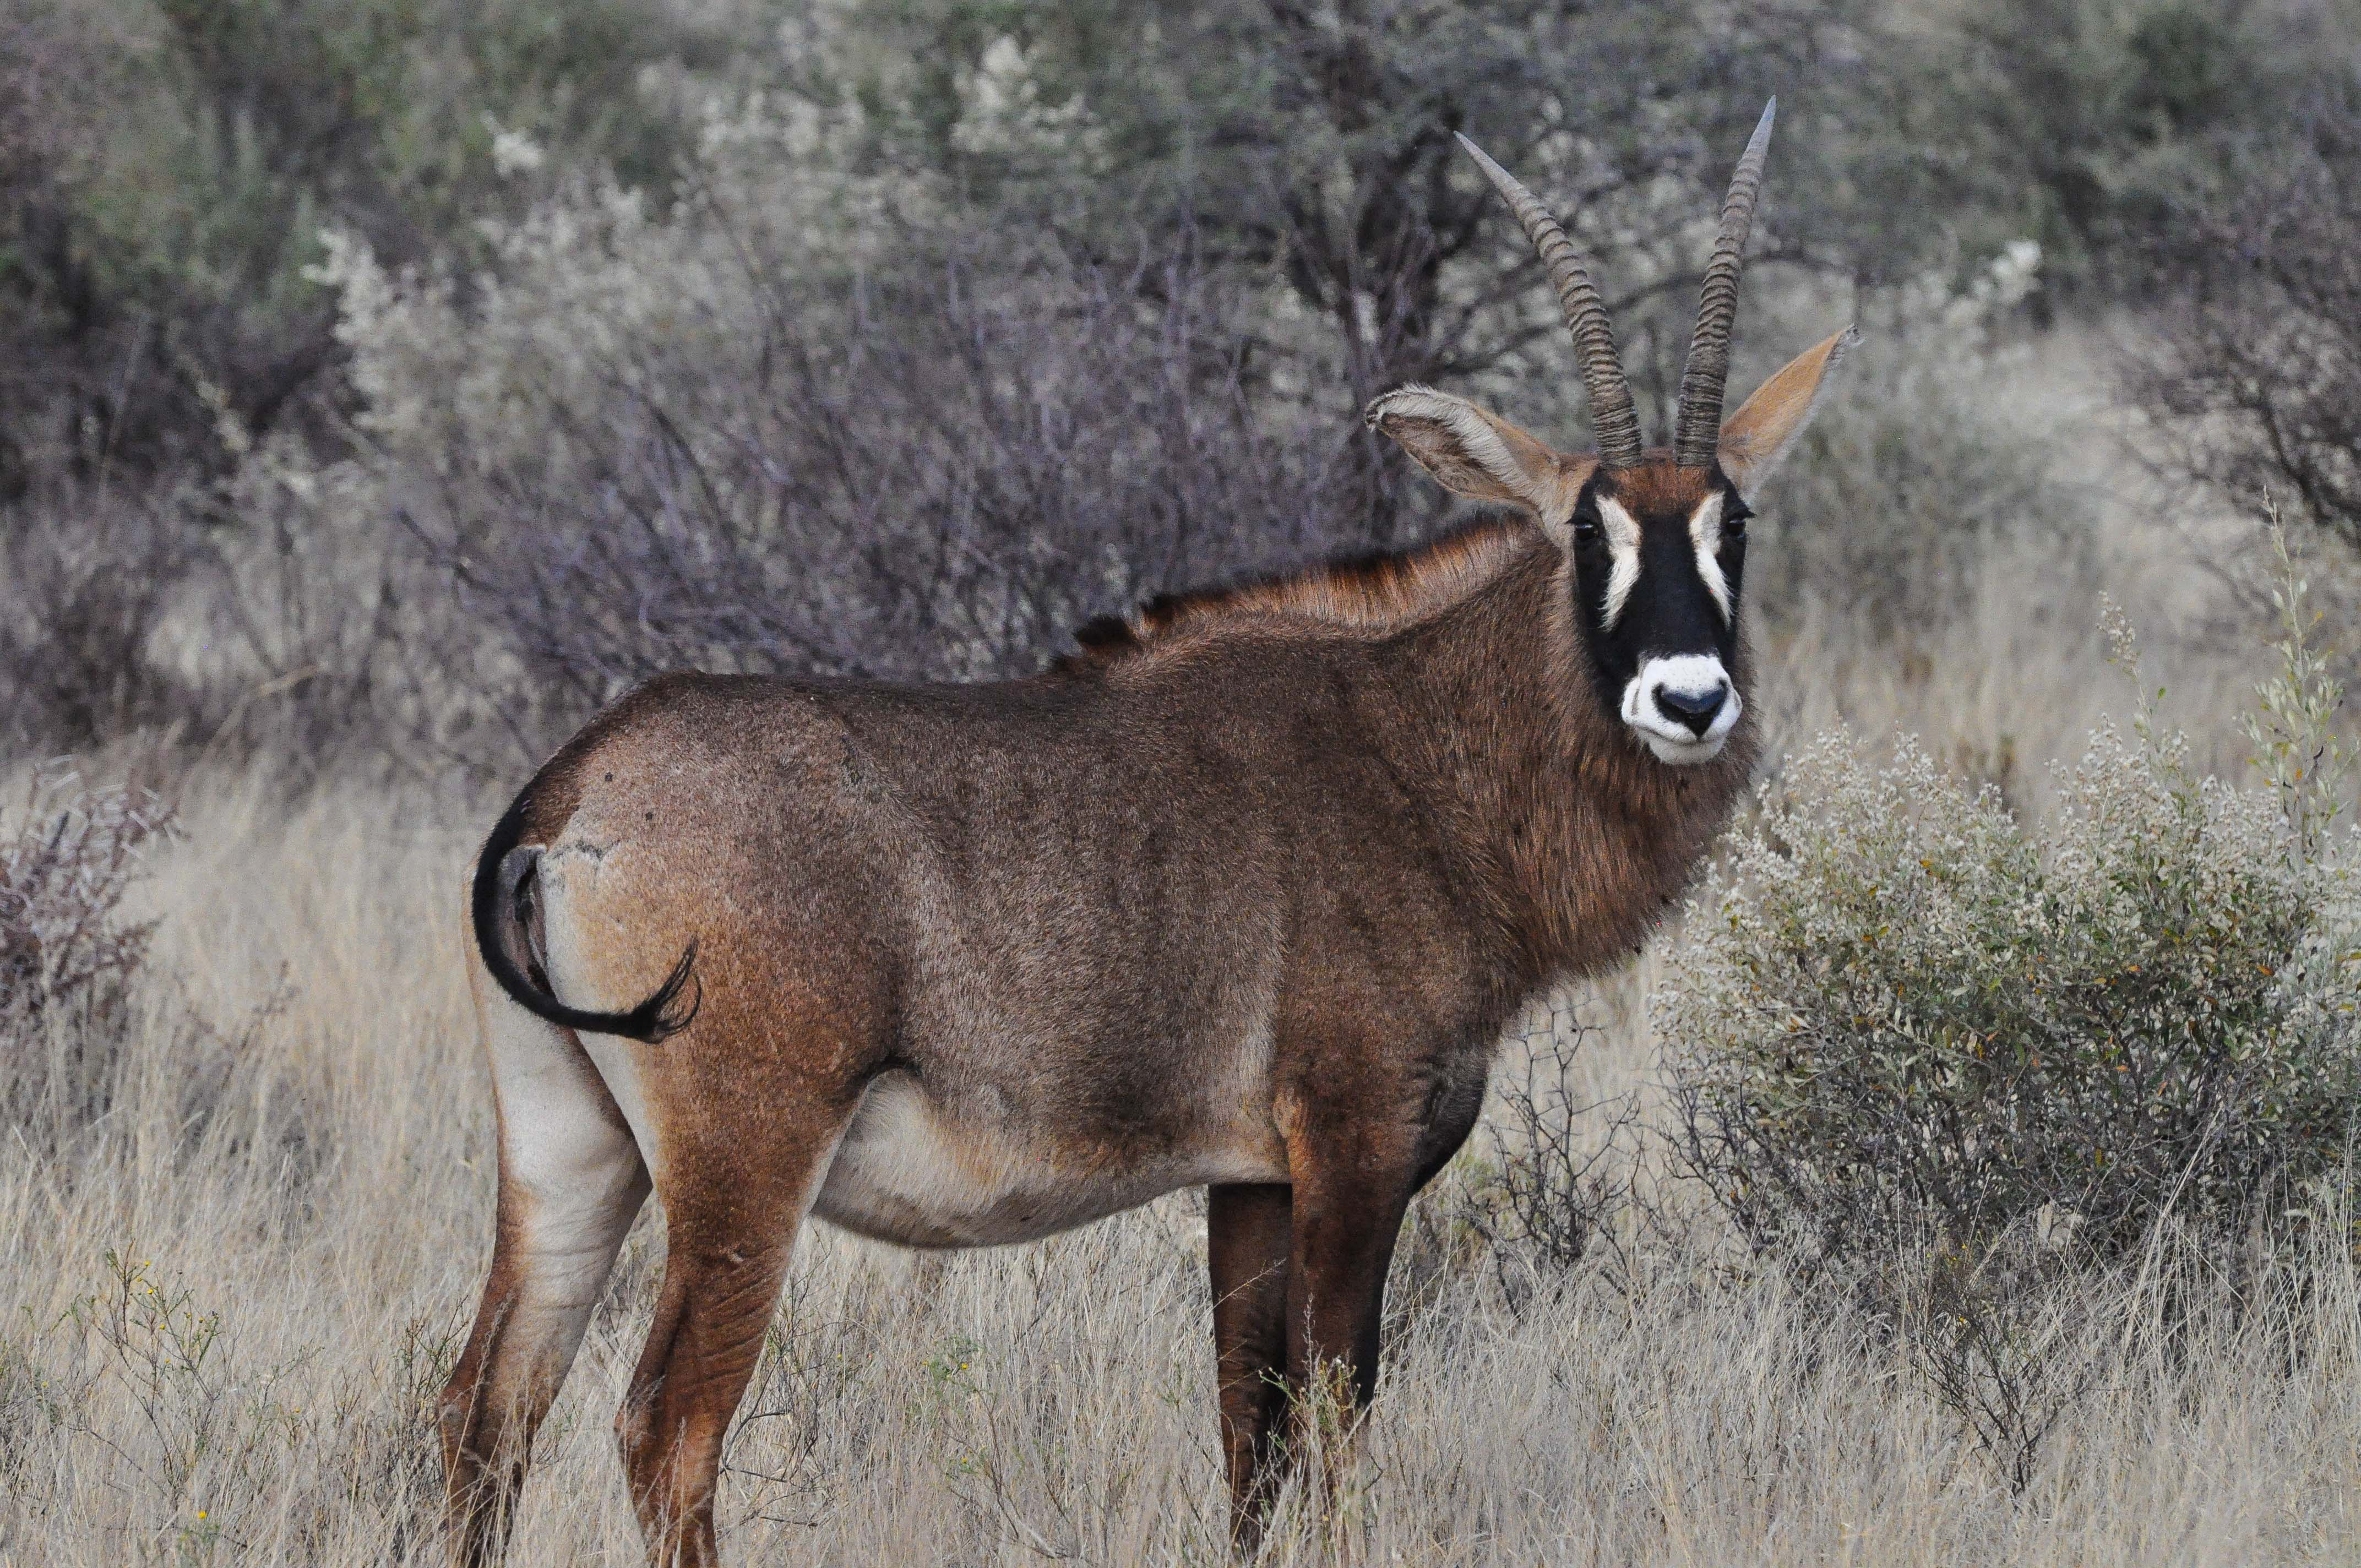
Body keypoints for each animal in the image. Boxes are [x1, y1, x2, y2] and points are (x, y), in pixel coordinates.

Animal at [439, 101, 1841, 1567]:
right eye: (1587, 526)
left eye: (1733, 520)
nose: (1687, 696)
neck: (1415, 745)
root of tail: (574, 784)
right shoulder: (1353, 1148)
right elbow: (1334, 1414)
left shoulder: (1250, 1184)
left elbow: (1250, 1436)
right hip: (742, 1170)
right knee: (665, 1428)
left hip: (568, 1153)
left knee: (488, 1407)